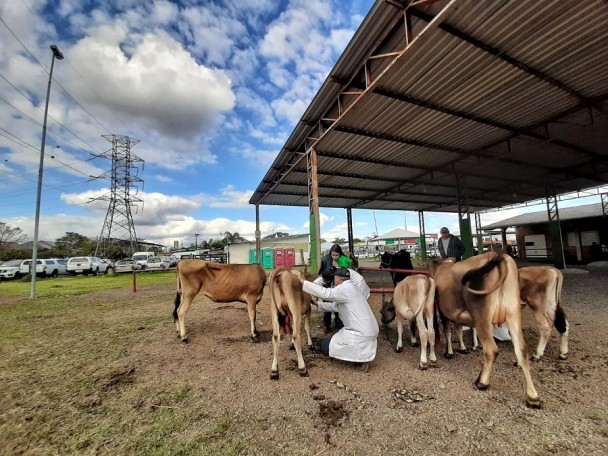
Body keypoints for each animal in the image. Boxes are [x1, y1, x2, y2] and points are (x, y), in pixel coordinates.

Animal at [428, 253, 540, 410]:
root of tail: (497, 255)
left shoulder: (443, 312)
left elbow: (448, 332)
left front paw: (449, 352)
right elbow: (459, 330)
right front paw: (462, 348)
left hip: (482, 314)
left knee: (491, 349)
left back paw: (482, 382)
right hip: (513, 313)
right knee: (521, 350)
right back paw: (533, 397)